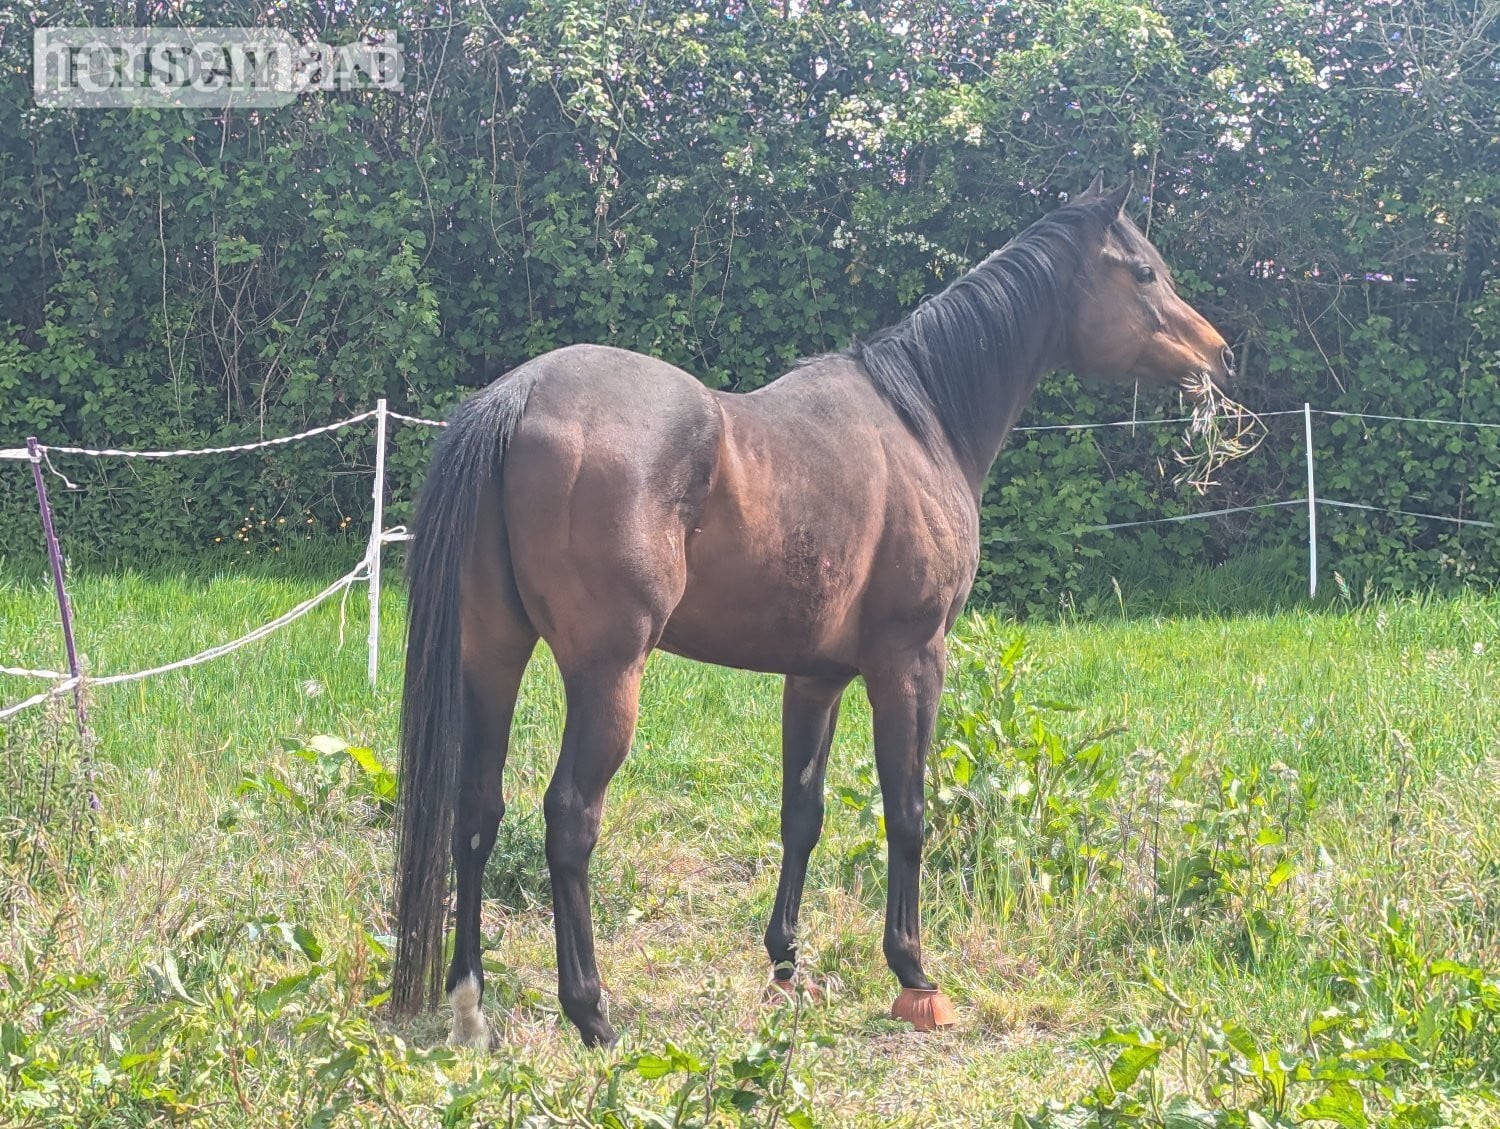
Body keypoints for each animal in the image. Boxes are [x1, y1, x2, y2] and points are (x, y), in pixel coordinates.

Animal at [390, 176, 1236, 1048]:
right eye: (1144, 271)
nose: (1219, 352)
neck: (921, 418)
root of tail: (518, 393)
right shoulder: (911, 660)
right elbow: (909, 811)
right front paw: (914, 973)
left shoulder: (816, 677)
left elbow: (803, 812)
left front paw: (786, 964)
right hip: (607, 673)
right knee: (569, 818)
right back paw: (592, 1012)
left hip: (493, 655)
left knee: (476, 810)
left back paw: (470, 1004)